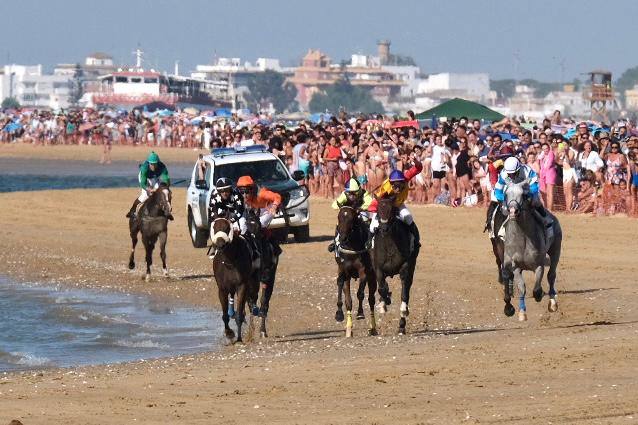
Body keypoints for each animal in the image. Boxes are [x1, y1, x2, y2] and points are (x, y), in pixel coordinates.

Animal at [211, 214, 258, 342]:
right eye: (214, 227)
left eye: (227, 228)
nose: (220, 244)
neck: (230, 261)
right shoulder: (222, 289)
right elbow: (225, 314)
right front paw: (229, 333)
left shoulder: (242, 286)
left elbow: (240, 313)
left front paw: (239, 338)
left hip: (252, 282)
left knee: (252, 303)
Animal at [332, 204, 378, 336]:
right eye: (339, 217)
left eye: (352, 219)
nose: (343, 237)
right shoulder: (343, 271)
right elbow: (347, 299)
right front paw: (343, 321)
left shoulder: (363, 271)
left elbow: (360, 293)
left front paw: (360, 313)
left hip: (372, 278)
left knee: (371, 300)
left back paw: (373, 328)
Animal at [372, 195, 422, 334]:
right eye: (378, 211)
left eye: (392, 211)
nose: (384, 229)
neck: (390, 245)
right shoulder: (378, 268)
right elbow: (381, 288)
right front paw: (384, 303)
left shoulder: (406, 266)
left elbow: (404, 292)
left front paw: (404, 311)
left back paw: (401, 326)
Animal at [502, 181, 564, 320]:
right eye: (506, 194)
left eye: (524, 195)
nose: (513, 211)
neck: (523, 238)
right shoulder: (515, 266)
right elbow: (522, 288)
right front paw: (522, 313)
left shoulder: (538, 265)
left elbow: (537, 288)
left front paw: (539, 295)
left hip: (556, 250)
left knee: (551, 275)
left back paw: (552, 303)